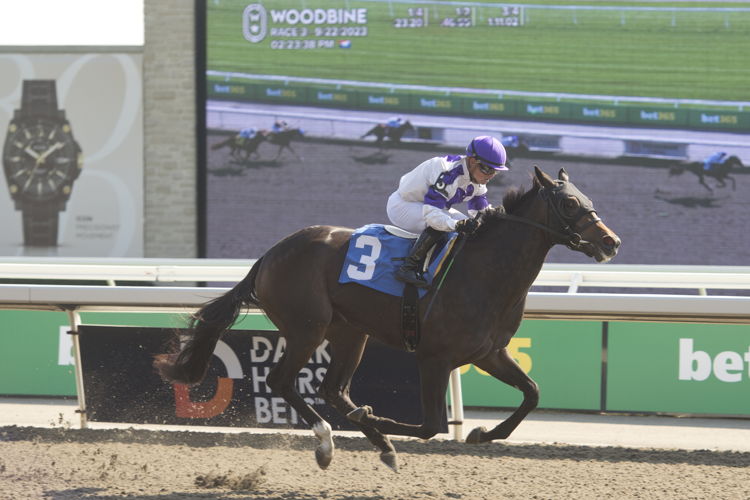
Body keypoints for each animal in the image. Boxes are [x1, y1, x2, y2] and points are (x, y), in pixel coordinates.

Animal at [154, 168, 624, 472]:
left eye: (587, 199)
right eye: (569, 202)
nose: (611, 242)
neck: (485, 271)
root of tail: (270, 255)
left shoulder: (489, 352)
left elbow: (532, 393)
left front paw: (480, 434)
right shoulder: (434, 358)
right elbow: (431, 425)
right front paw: (376, 419)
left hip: (350, 332)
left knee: (332, 388)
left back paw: (380, 446)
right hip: (307, 327)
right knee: (283, 381)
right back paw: (327, 442)